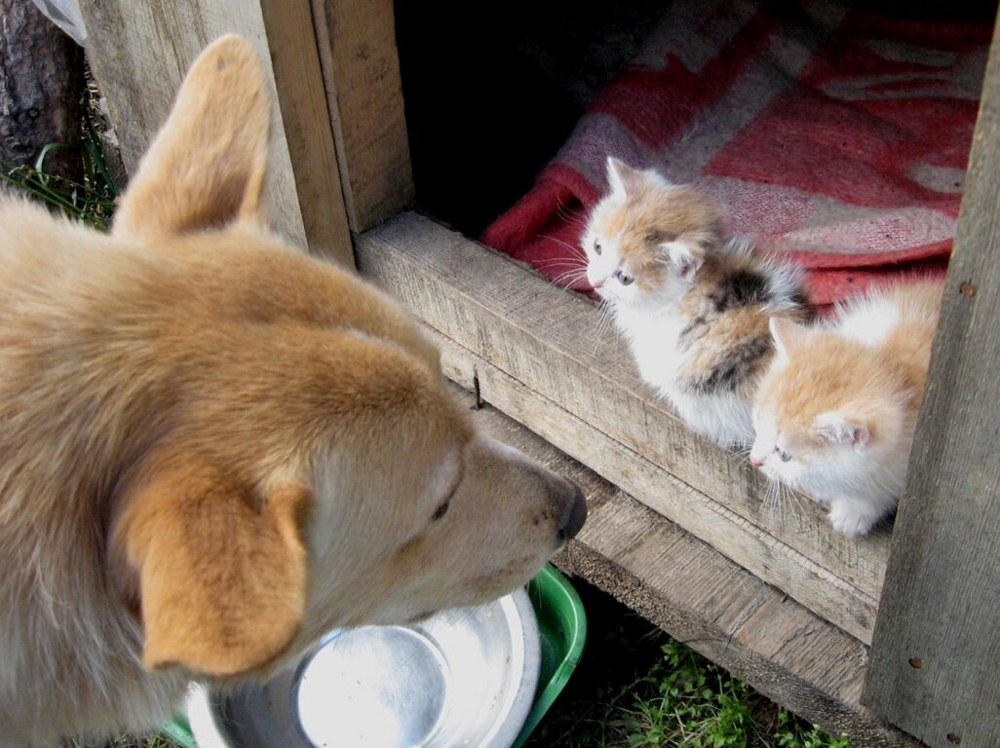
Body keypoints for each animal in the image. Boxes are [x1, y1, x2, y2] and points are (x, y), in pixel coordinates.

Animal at [752, 278, 944, 536]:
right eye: (757, 421)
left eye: (784, 455)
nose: (754, 460)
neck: (893, 367)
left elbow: (883, 483)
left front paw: (854, 511)